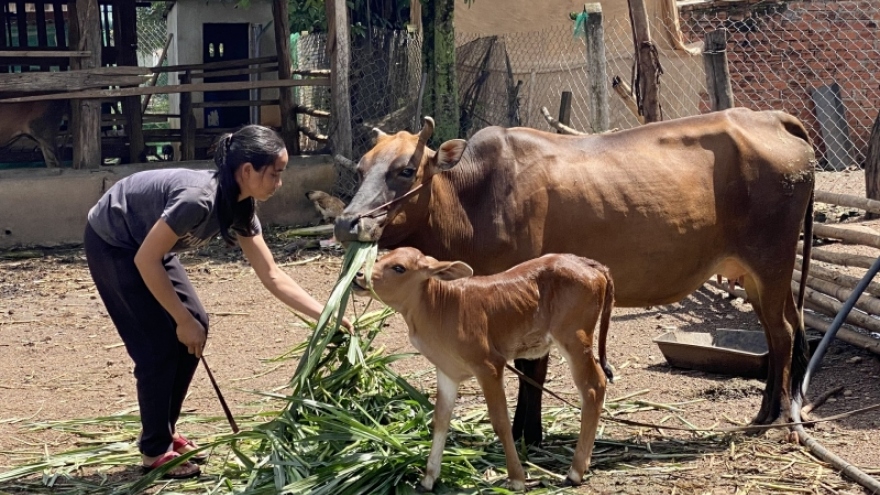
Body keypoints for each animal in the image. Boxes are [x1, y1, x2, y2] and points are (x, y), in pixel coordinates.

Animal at [336, 106, 820, 444]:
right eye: (360, 170)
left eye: (405, 170)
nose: (346, 222)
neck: (475, 198)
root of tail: (769, 116)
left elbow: (532, 366)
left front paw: (528, 434)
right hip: (759, 274)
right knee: (784, 330)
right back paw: (771, 410)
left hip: (771, 261)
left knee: (781, 335)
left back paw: (775, 417)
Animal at [354, 248, 616, 492]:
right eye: (381, 257)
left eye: (399, 267)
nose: (357, 275)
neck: (441, 307)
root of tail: (589, 263)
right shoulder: (447, 371)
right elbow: (440, 419)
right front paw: (428, 479)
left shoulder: (489, 366)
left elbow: (500, 421)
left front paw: (517, 479)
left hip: (574, 339)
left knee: (593, 388)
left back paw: (575, 472)